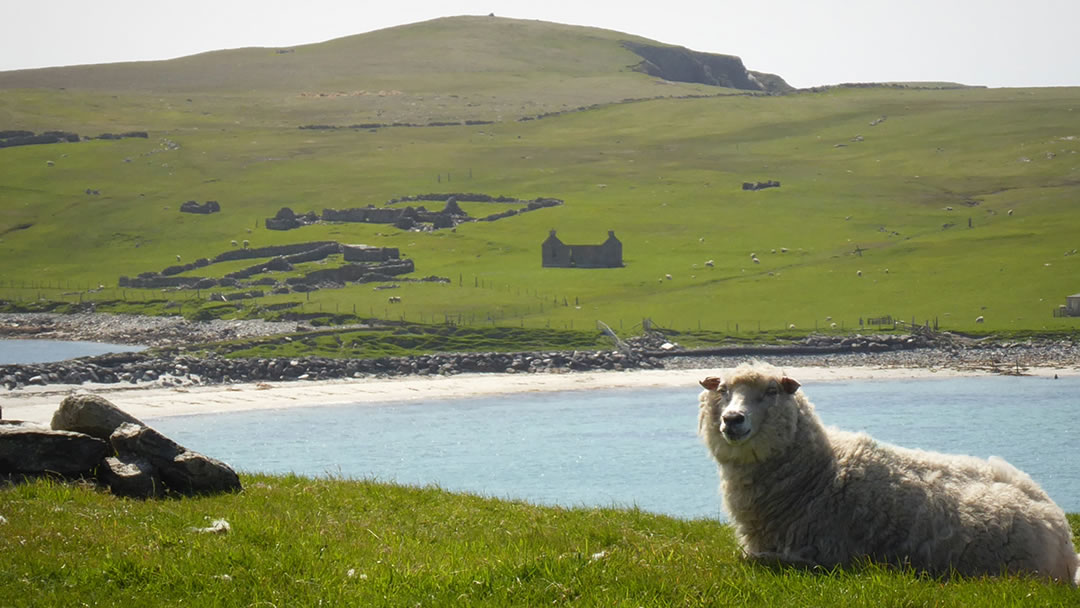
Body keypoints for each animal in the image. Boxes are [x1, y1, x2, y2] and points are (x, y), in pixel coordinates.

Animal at [699, 360, 1080, 583]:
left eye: (771, 390)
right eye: (723, 390)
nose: (732, 420)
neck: (818, 471)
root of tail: (1063, 532)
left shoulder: (827, 556)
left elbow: (751, 558)